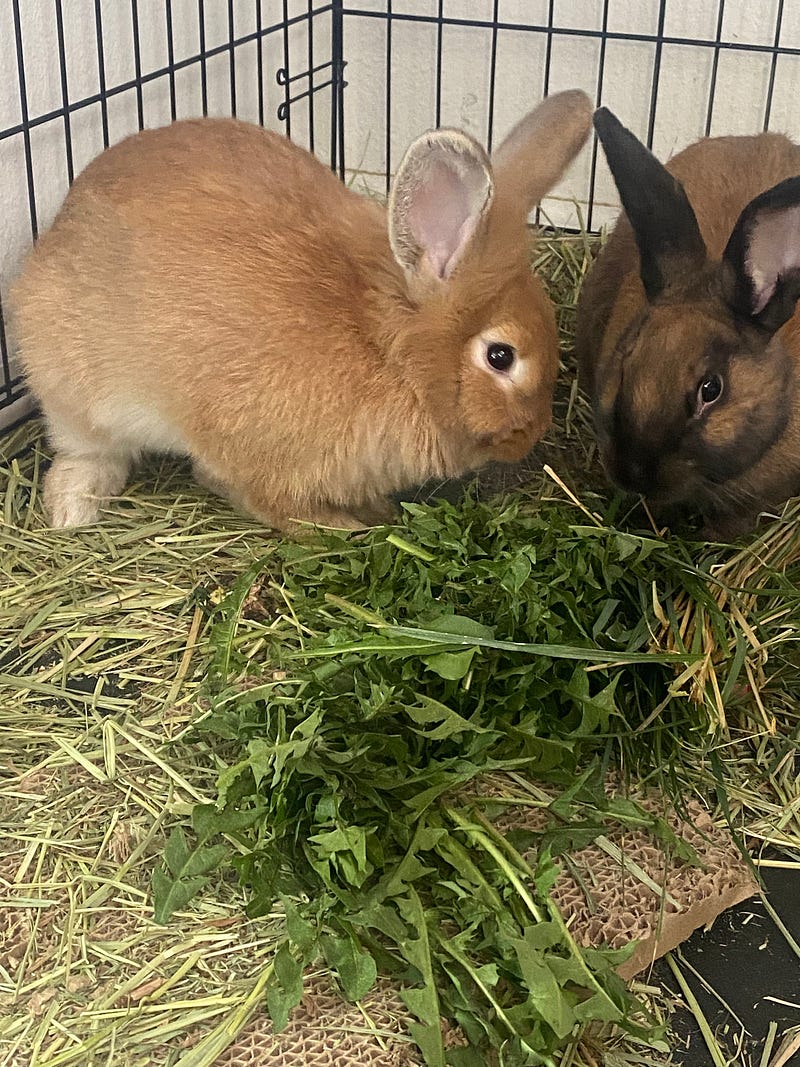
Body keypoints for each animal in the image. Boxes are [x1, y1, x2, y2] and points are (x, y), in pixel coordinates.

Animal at [10, 90, 593, 532]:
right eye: (500, 357)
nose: (531, 435)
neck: (385, 353)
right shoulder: (259, 459)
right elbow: (256, 497)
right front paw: (347, 529)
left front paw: (375, 512)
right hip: (73, 387)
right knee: (87, 449)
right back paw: (71, 511)